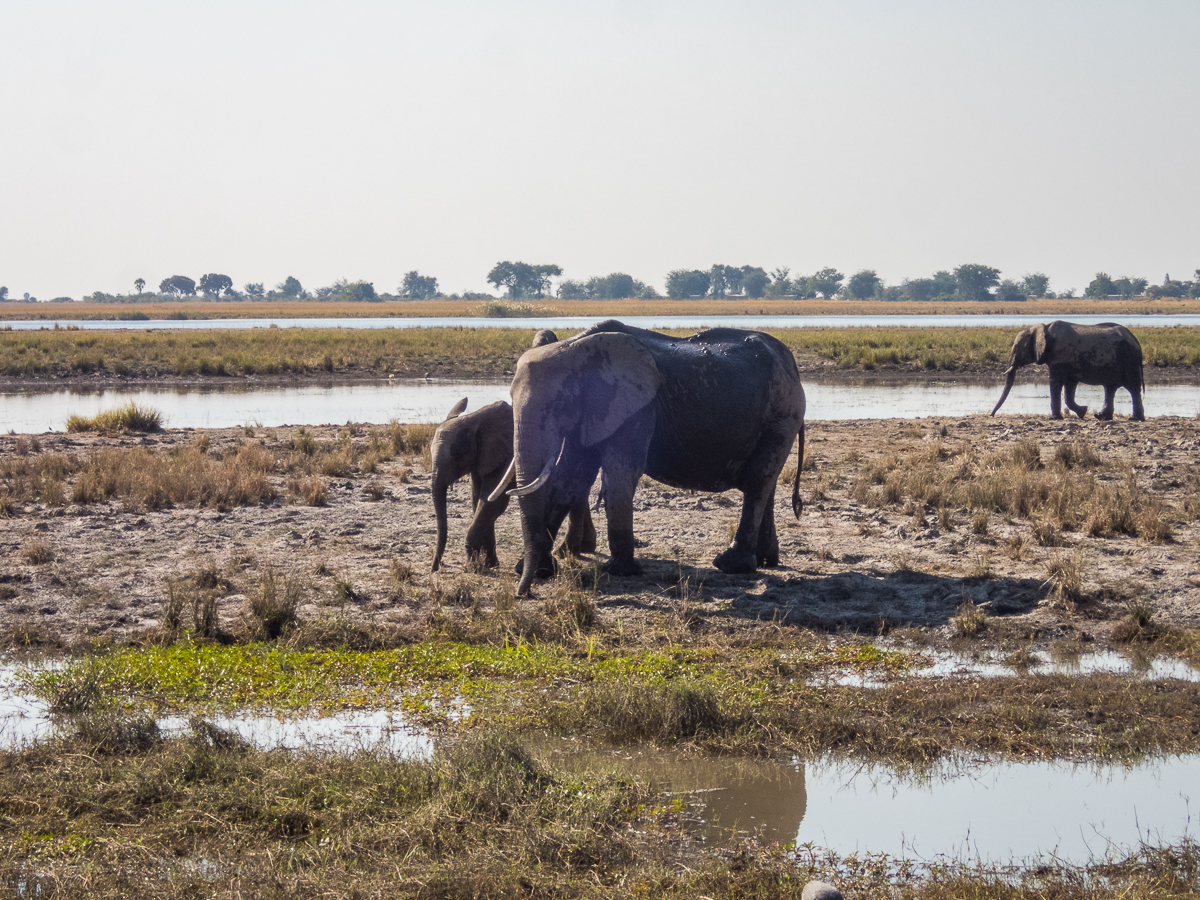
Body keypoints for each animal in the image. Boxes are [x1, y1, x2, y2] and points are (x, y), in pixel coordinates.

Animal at [487, 321, 806, 595]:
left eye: (560, 403)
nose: (523, 593)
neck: (577, 346)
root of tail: (790, 362)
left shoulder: (638, 406)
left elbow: (620, 473)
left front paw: (621, 570)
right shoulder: (594, 410)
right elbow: (570, 479)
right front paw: (535, 569)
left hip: (783, 414)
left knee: (757, 481)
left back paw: (732, 564)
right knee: (766, 483)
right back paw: (766, 561)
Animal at [988, 321, 1147, 422]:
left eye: (1017, 350)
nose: (992, 415)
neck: (1042, 328)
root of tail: (1136, 341)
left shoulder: (1059, 356)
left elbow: (1055, 382)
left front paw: (1055, 418)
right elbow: (1070, 386)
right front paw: (1082, 412)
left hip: (1129, 361)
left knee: (1132, 388)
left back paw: (1135, 419)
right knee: (1110, 388)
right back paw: (1101, 417)